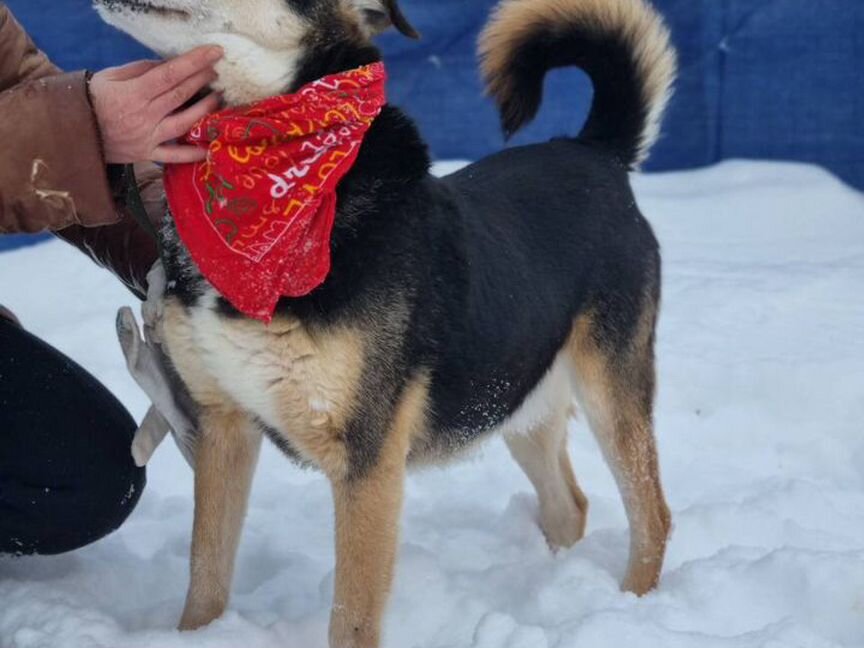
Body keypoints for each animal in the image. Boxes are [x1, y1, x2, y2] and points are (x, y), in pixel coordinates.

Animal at [99, 1, 676, 648]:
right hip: (513, 399)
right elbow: (205, 575)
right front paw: (195, 634)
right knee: (569, 507)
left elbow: (351, 617)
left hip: (610, 391)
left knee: (652, 515)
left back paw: (631, 607)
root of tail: (595, 152)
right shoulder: (222, 424)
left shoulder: (368, 459)